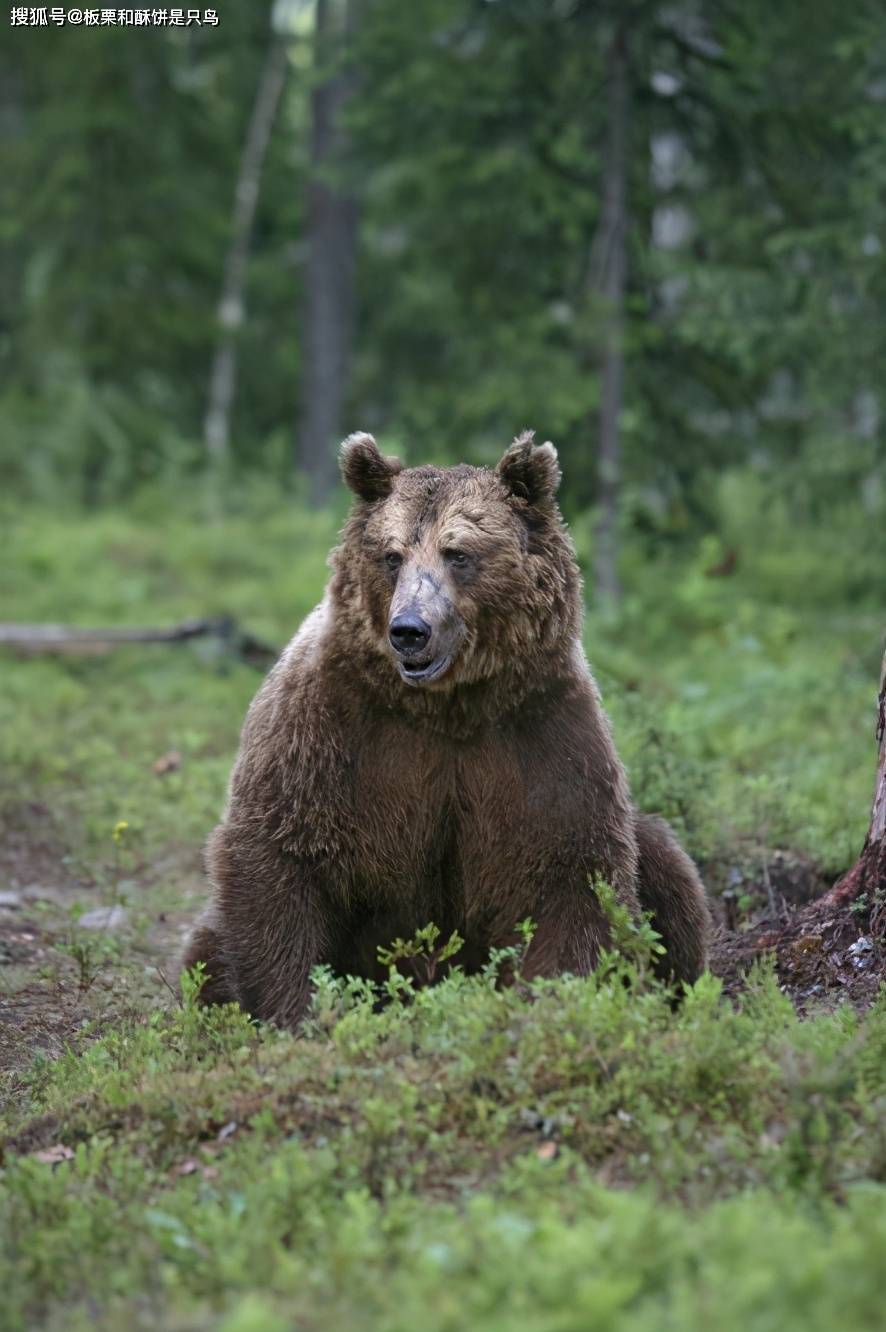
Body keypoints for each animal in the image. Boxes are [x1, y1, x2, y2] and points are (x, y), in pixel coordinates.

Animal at [182, 431, 708, 1022]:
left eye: (458, 553)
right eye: (392, 556)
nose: (409, 630)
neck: (447, 707)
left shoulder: (541, 733)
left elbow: (572, 872)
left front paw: (552, 1001)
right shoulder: (328, 730)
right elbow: (281, 853)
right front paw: (295, 1010)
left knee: (668, 871)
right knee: (206, 950)